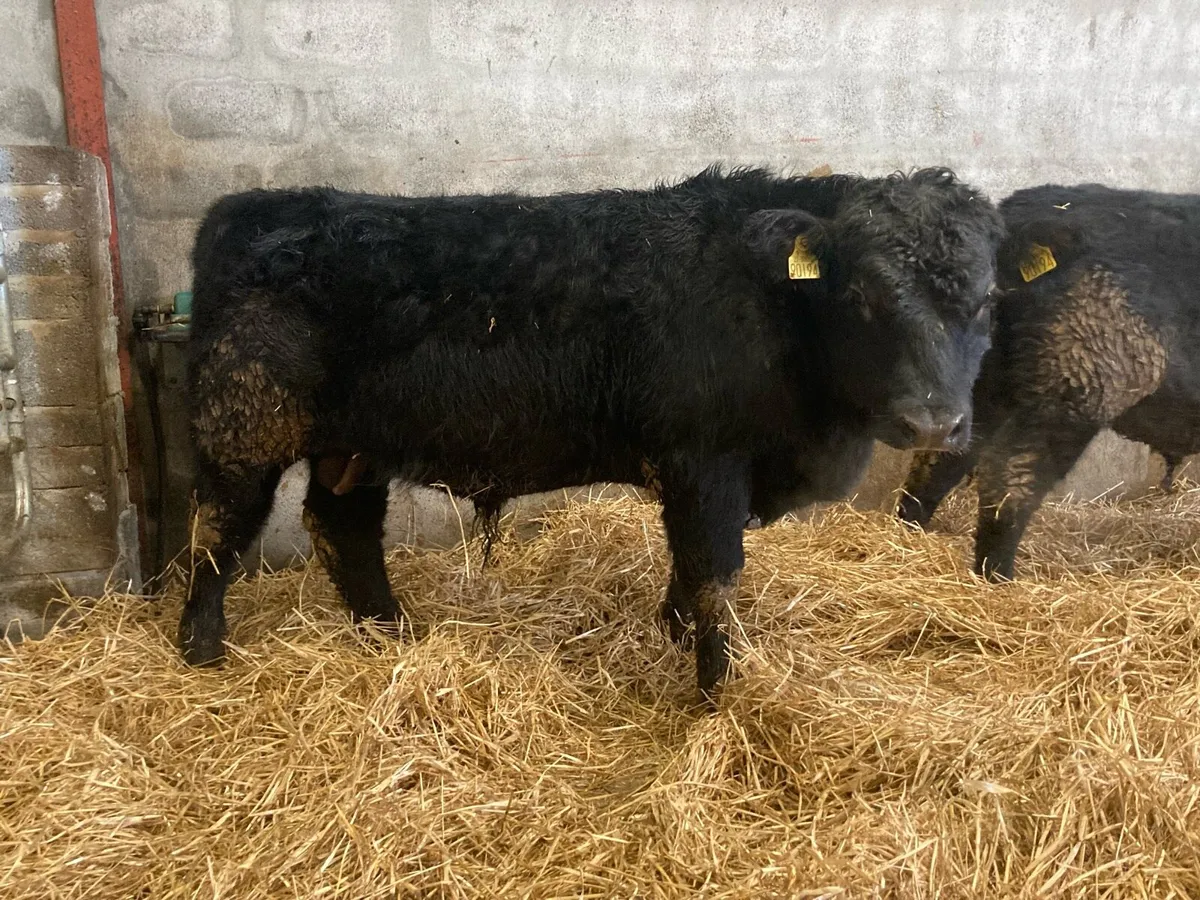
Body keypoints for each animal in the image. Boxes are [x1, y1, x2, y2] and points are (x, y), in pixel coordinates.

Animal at [181, 165, 1003, 701]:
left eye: (990, 297)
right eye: (860, 293)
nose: (934, 419)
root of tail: (250, 209)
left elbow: (692, 573)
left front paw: (675, 634)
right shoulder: (705, 461)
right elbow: (715, 576)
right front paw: (717, 696)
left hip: (352, 445)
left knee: (342, 527)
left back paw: (392, 634)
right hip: (243, 428)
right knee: (218, 532)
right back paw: (200, 649)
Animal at [898, 183, 1200, 581]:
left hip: (987, 378)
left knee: (941, 457)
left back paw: (907, 532)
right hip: (1074, 386)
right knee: (1010, 478)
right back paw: (997, 576)